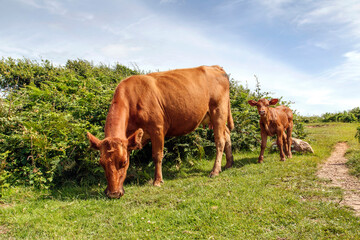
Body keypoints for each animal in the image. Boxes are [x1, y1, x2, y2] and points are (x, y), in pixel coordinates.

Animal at [86, 65, 233, 199]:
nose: (113, 194)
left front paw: (157, 181)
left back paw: (215, 170)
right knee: (227, 134)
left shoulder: (157, 128)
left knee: (220, 141)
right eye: (101, 163)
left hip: (218, 111)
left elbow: (157, 156)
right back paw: (228, 164)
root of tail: (214, 67)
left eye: (123, 162)